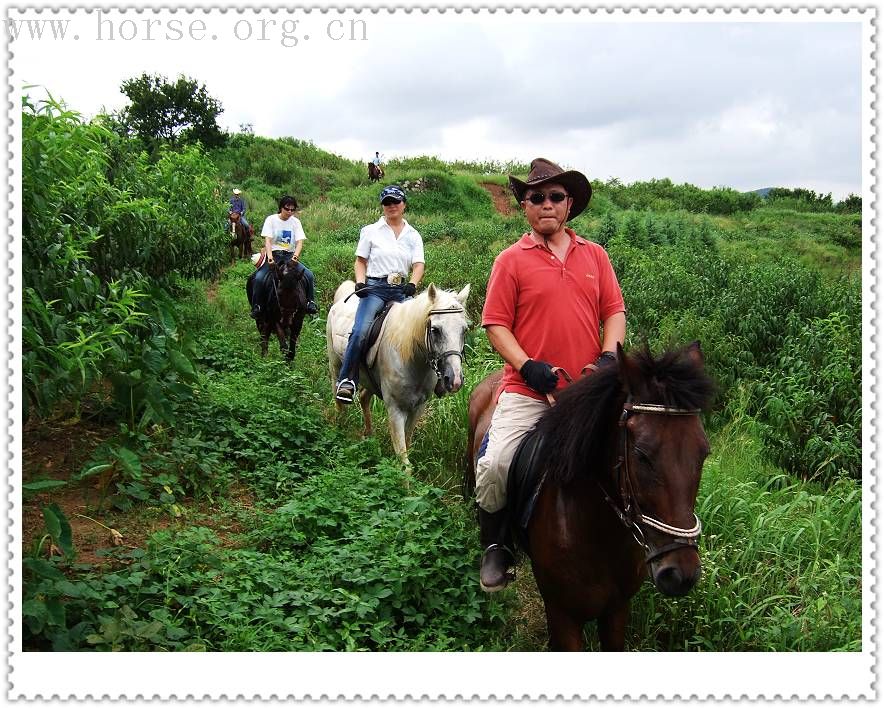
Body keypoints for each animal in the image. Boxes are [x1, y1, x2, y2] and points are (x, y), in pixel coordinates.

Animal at [326, 280, 470, 468]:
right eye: (435, 330)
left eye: (464, 330)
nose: (455, 380)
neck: (411, 357)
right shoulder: (395, 409)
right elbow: (404, 463)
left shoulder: (418, 407)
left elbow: (407, 443)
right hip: (335, 365)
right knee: (338, 397)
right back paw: (340, 427)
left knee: (364, 397)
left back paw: (368, 435)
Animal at [466, 342, 716, 652]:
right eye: (641, 454)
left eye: (703, 452)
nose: (680, 576)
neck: (595, 530)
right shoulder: (562, 615)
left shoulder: (617, 609)